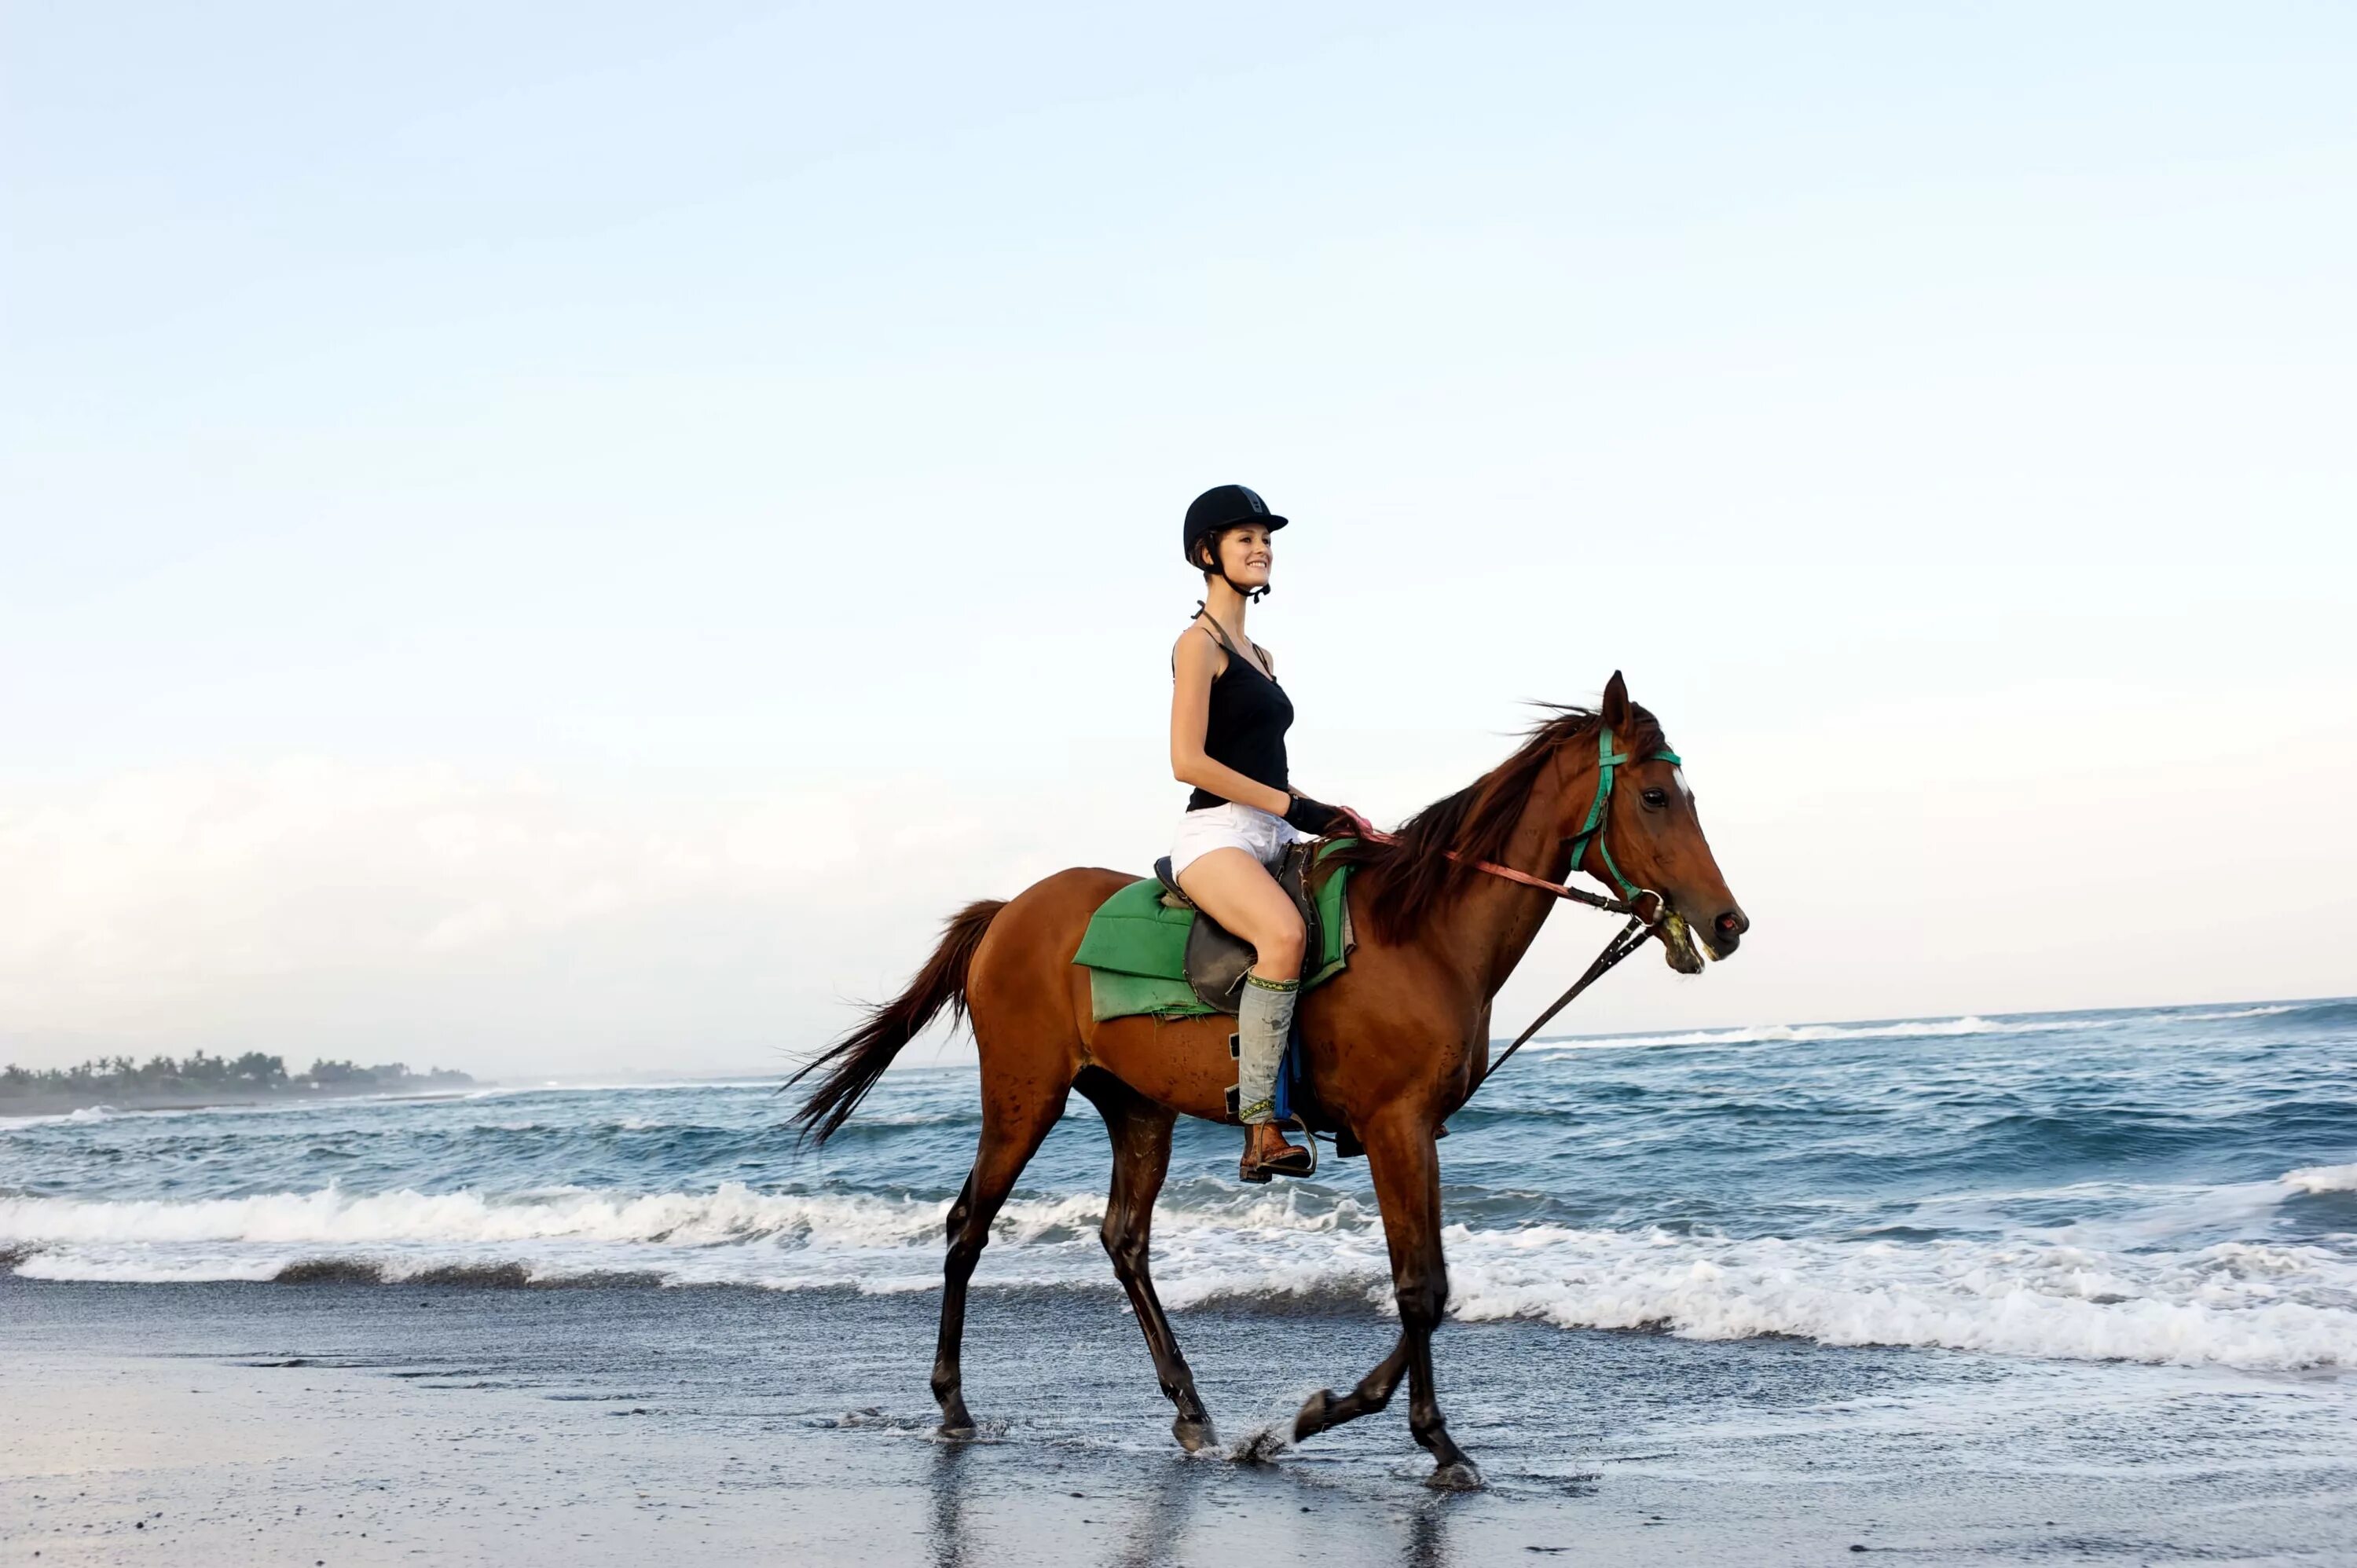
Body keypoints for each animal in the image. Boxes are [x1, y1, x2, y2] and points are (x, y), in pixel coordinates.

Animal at [801, 669, 1744, 1480]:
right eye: (1655, 797)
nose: (1729, 922)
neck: (1424, 931)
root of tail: (1009, 913)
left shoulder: (1419, 1131)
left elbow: (1431, 1284)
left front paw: (1327, 1411)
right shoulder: (1397, 1127)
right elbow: (1420, 1286)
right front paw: (1429, 1440)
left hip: (1138, 1110)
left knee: (1125, 1240)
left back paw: (1189, 1408)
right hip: (1021, 1096)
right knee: (969, 1226)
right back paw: (953, 1404)